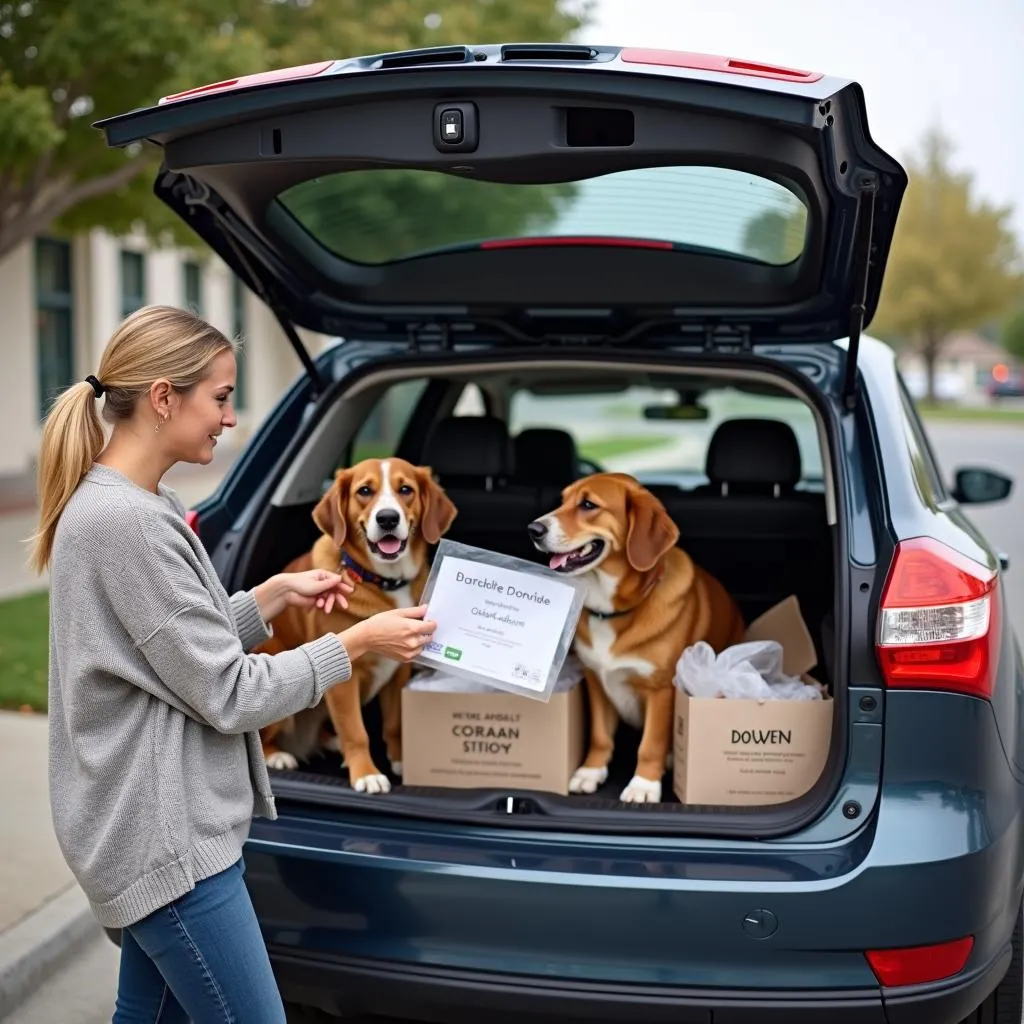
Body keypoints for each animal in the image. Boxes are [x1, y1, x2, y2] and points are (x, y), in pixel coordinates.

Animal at [260, 460, 456, 794]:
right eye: (365, 491)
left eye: (406, 489)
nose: (388, 518)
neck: (384, 580)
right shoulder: (342, 680)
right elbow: (356, 730)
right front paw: (366, 773)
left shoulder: (398, 671)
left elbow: (393, 723)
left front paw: (400, 759)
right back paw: (279, 756)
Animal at [528, 475, 745, 802]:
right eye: (562, 500)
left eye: (588, 505)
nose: (533, 529)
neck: (611, 612)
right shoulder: (596, 681)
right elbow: (600, 736)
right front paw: (591, 771)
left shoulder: (661, 690)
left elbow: (650, 744)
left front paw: (644, 784)